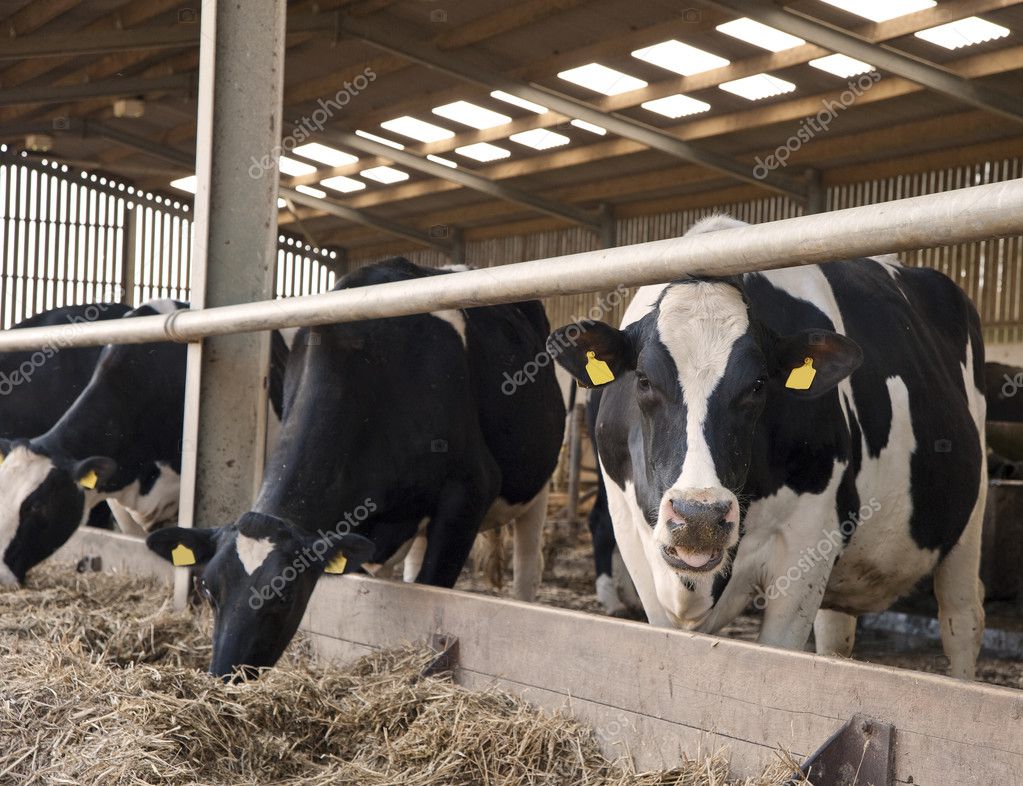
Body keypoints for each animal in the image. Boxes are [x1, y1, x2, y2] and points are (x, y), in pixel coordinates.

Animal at [148, 260, 568, 679]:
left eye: (283, 594)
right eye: (207, 588)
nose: (225, 675)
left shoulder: (470, 490)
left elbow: (436, 588)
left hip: (536, 486)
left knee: (527, 566)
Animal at [552, 216, 990, 679]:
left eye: (759, 384)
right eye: (643, 379)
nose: (699, 518)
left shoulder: (807, 541)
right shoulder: (634, 535)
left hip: (970, 518)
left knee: (961, 620)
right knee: (837, 631)